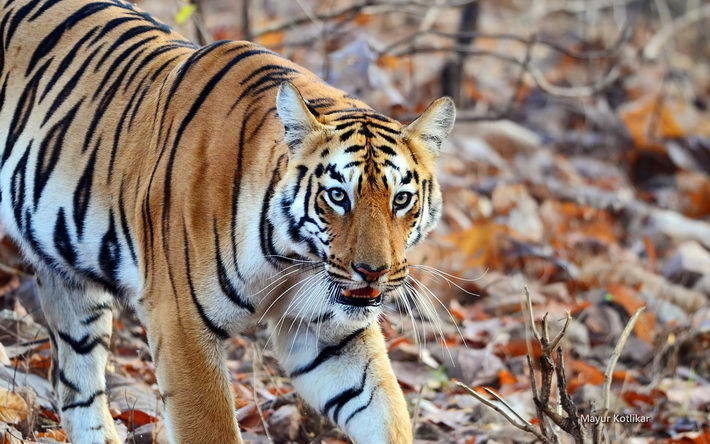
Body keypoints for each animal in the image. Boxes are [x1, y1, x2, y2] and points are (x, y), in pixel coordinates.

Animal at [0, 0, 456, 442]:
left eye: (401, 199)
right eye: (338, 196)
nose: (372, 271)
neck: (291, 259)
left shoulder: (330, 335)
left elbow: (387, 413)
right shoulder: (180, 325)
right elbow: (210, 426)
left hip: (71, 286)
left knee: (76, 384)